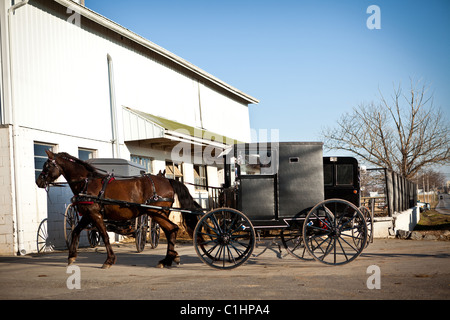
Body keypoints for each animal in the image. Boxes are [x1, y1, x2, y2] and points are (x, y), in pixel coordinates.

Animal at [37, 151, 200, 268]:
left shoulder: (95, 215)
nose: (38, 181)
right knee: (170, 230)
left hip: (156, 213)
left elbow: (105, 236)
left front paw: (109, 260)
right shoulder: (88, 215)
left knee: (171, 229)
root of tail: (167, 181)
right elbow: (76, 231)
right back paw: (169, 259)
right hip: (160, 214)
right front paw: (71, 256)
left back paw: (167, 259)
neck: (86, 182)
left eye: (47, 166)